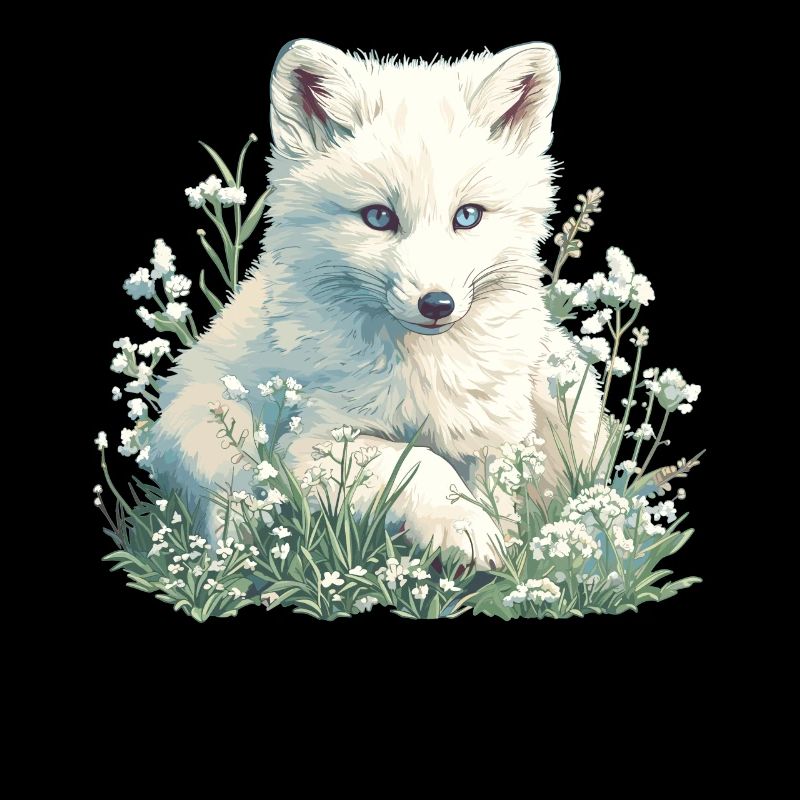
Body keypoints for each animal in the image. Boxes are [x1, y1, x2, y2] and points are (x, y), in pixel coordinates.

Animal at [149, 38, 604, 569]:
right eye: (379, 217)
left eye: (468, 216)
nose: (437, 304)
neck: (426, 373)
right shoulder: (316, 445)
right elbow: (422, 462)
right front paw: (466, 529)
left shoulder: (497, 436)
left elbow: (500, 499)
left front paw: (501, 553)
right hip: (217, 426)